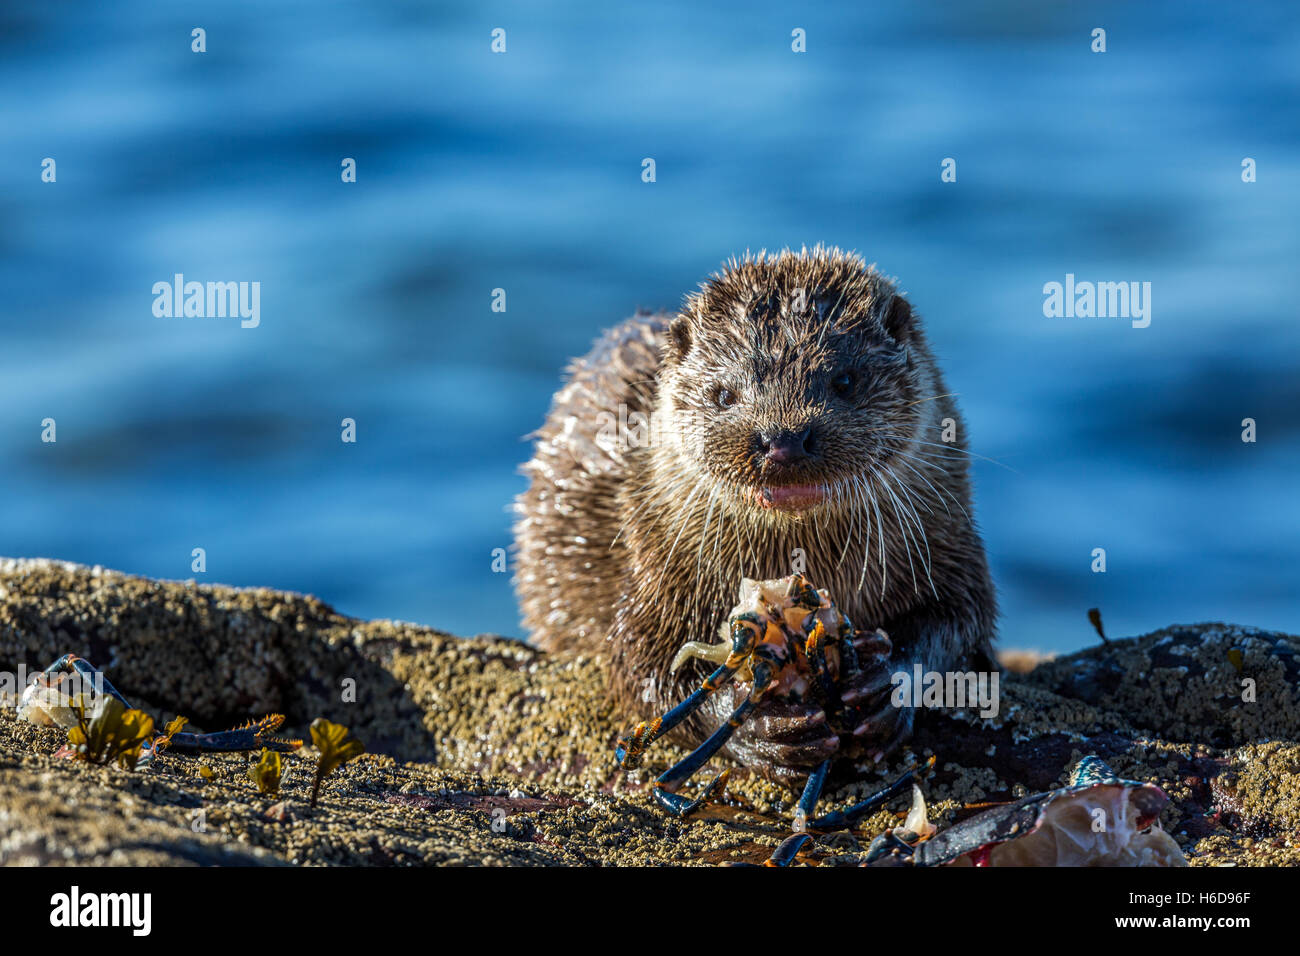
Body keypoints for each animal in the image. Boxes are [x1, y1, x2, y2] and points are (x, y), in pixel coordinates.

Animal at [509, 247, 993, 785]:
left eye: (844, 381)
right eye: (724, 394)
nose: (783, 439)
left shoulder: (946, 544)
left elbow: (959, 623)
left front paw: (889, 684)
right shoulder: (650, 570)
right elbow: (641, 670)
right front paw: (759, 732)